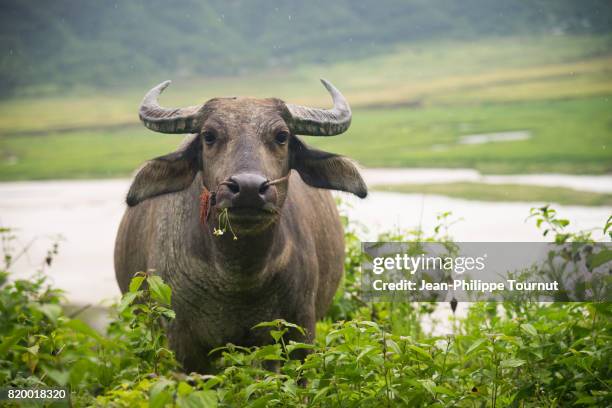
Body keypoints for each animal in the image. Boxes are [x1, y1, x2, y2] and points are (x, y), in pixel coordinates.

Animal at [114, 78, 366, 372]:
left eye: (282, 136)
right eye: (209, 135)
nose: (248, 189)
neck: (236, 277)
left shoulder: (298, 331)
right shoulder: (182, 341)